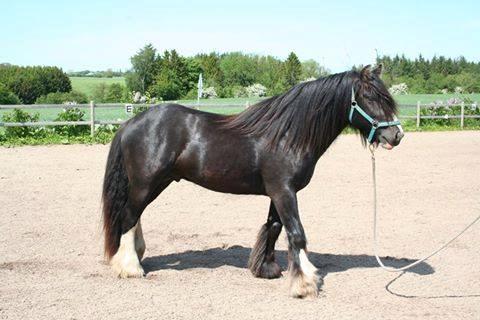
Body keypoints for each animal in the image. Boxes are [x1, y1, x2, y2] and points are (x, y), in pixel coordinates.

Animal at [103, 64, 404, 298]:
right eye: (369, 96)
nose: (396, 135)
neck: (288, 136)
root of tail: (131, 123)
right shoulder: (284, 191)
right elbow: (296, 233)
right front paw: (305, 284)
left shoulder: (279, 193)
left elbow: (274, 228)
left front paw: (266, 269)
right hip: (145, 184)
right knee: (129, 216)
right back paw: (130, 267)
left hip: (156, 183)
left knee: (134, 217)